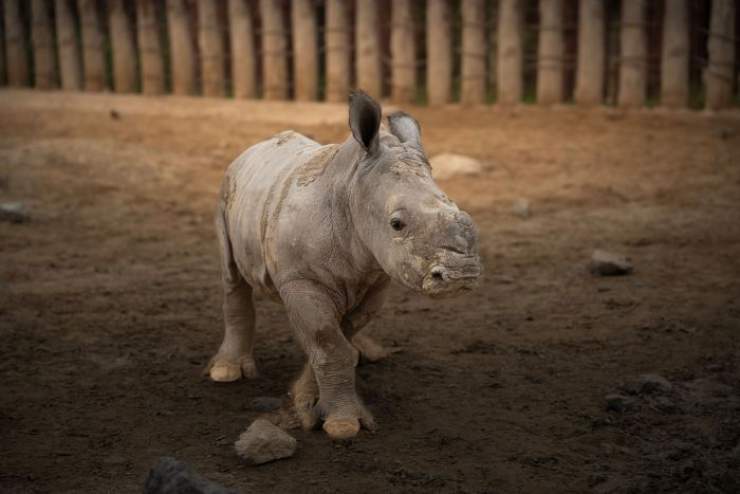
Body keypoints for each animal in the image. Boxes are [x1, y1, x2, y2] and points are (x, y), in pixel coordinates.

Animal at [207, 91, 481, 440]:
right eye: (396, 224)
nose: (462, 274)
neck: (353, 191)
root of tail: (251, 149)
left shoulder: (376, 279)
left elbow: (338, 339)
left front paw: (307, 399)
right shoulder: (302, 279)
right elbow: (329, 343)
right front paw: (342, 425)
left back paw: (370, 353)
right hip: (226, 192)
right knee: (232, 276)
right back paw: (226, 372)